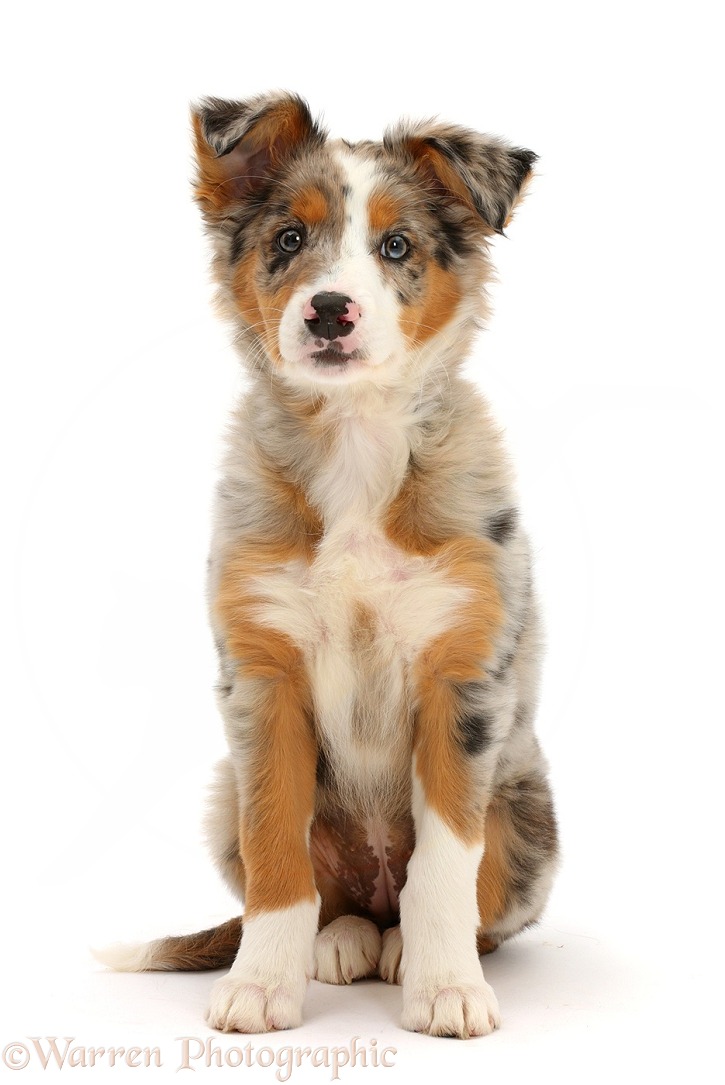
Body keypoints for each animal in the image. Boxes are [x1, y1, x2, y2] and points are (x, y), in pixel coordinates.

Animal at [97, 95, 560, 1041]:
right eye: (286, 238)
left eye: (397, 246)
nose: (329, 311)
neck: (355, 444)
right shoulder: (263, 680)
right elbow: (279, 849)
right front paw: (257, 987)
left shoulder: (462, 684)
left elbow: (445, 866)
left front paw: (445, 990)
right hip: (222, 796)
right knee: (332, 896)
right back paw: (339, 941)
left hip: (527, 815)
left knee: (448, 900)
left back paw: (404, 951)